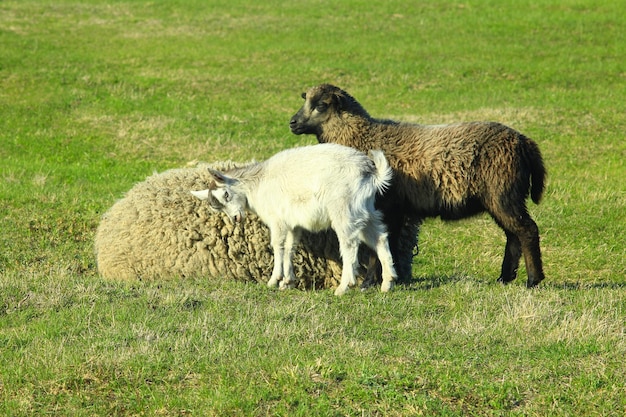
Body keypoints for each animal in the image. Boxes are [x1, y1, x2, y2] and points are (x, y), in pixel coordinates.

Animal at [190, 144, 394, 296]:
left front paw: (273, 280)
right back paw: (388, 283)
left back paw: (344, 287)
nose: (235, 218)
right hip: (366, 210)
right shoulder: (292, 223)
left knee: (349, 244)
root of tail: (370, 172)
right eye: (216, 207)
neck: (257, 185)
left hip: (343, 208)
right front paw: (287, 281)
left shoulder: (277, 220)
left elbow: (277, 246)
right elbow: (290, 247)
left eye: (226, 194)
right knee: (380, 237)